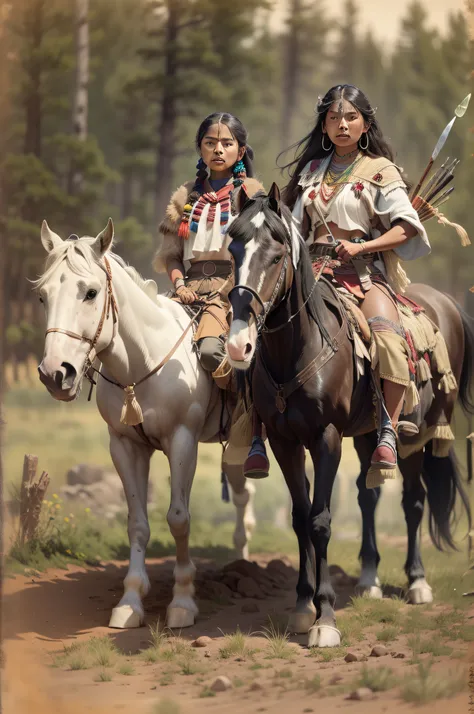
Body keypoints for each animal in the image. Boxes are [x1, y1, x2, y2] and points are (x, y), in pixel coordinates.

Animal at [34, 218, 256, 628]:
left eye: (91, 292)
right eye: (43, 296)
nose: (56, 374)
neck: (144, 362)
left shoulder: (182, 441)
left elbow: (179, 518)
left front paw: (182, 602)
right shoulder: (125, 445)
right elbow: (137, 523)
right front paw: (130, 601)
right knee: (242, 492)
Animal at [225, 184, 470, 644]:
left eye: (276, 254)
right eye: (233, 249)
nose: (238, 344)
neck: (299, 348)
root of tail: (444, 304)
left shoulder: (327, 437)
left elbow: (321, 520)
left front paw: (325, 618)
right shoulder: (285, 441)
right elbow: (300, 517)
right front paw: (303, 606)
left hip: (418, 434)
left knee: (413, 500)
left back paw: (417, 582)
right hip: (367, 433)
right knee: (368, 494)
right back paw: (370, 578)